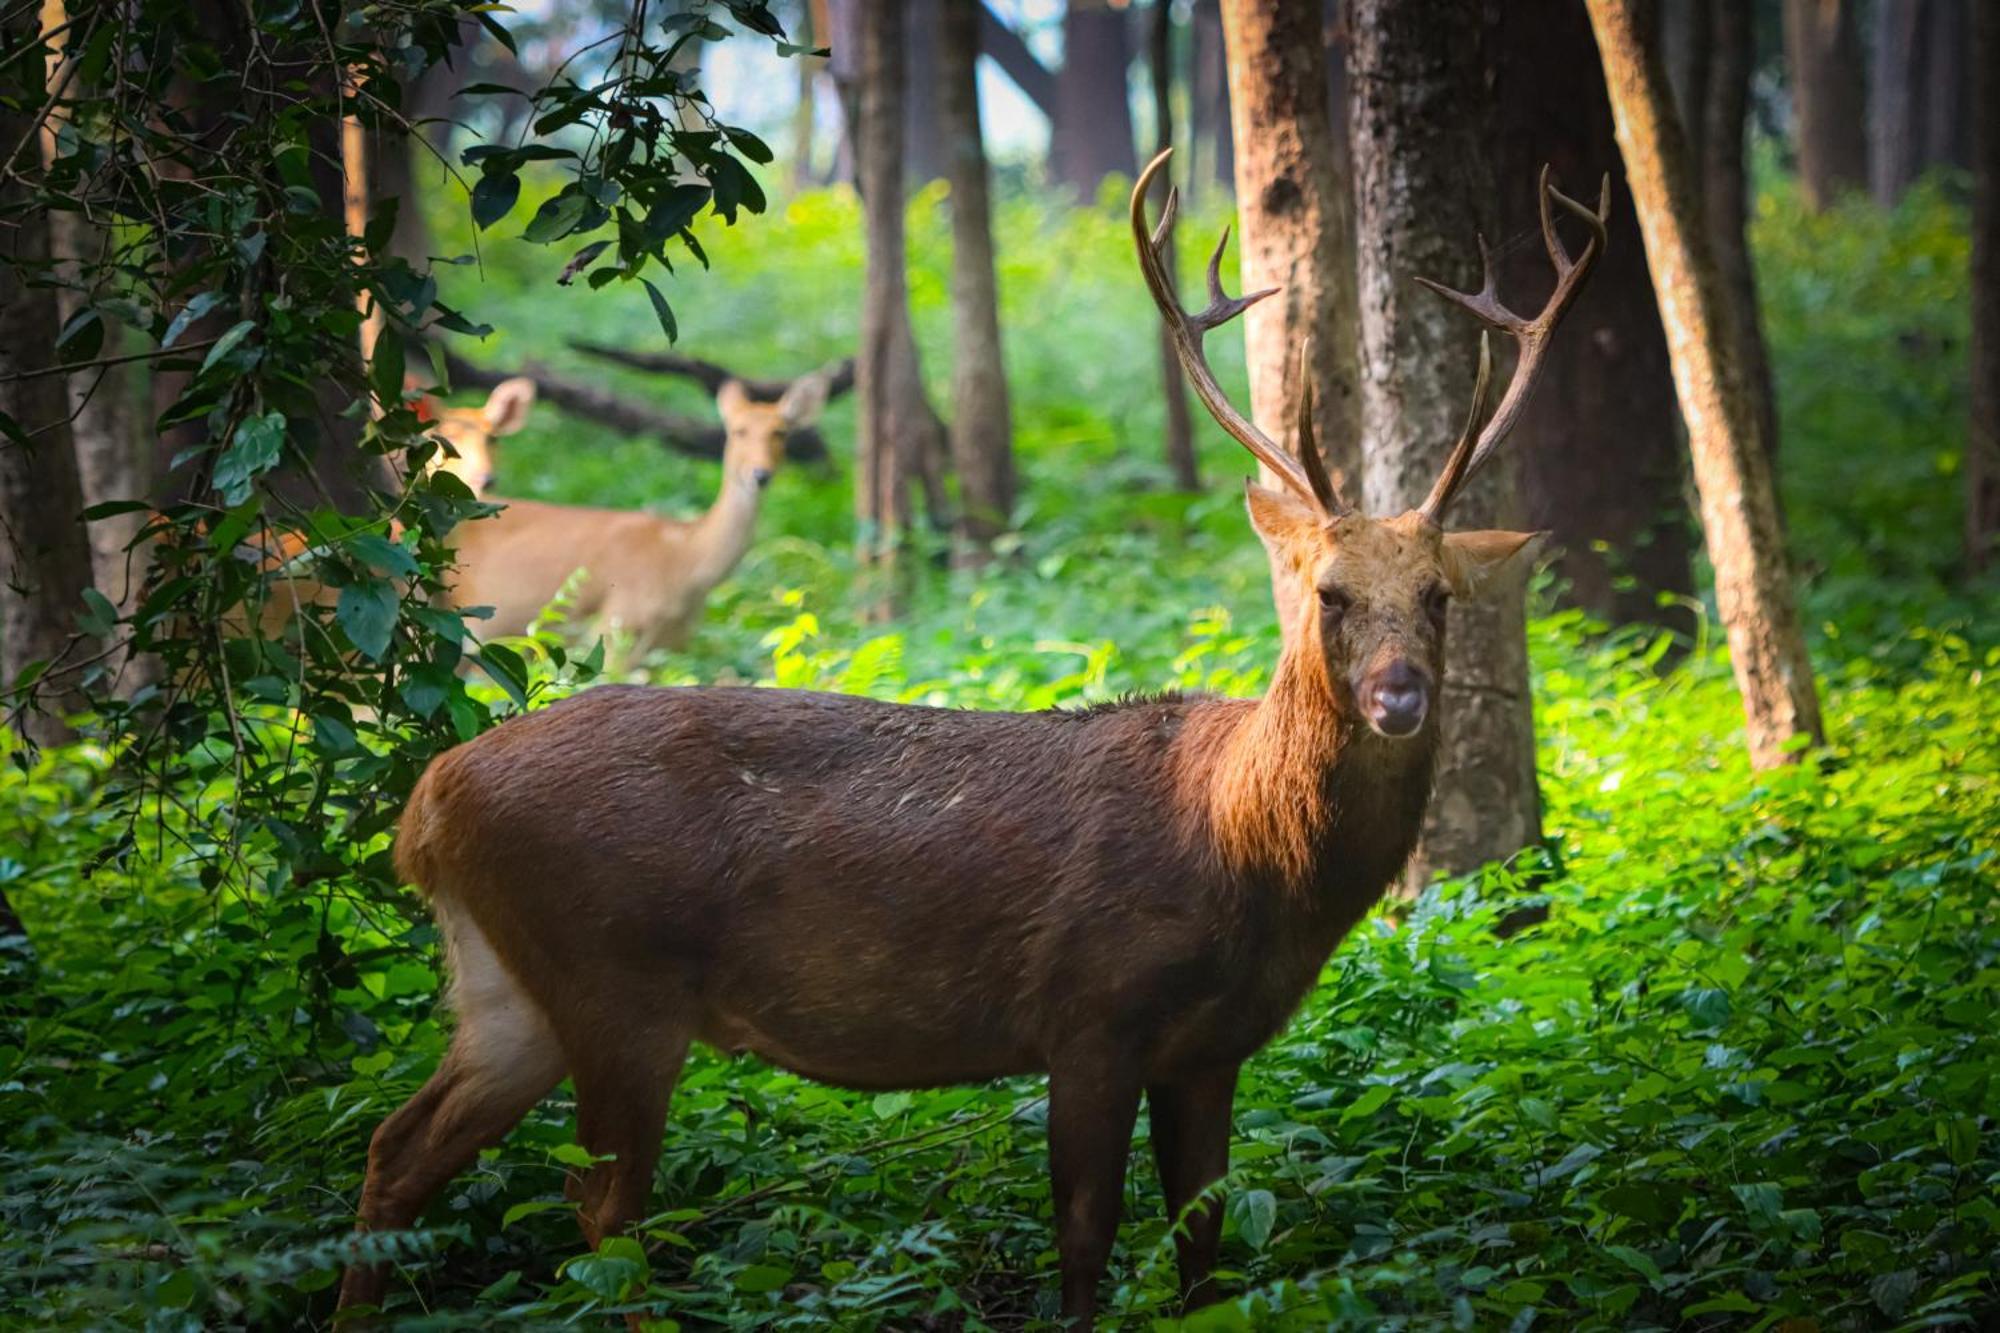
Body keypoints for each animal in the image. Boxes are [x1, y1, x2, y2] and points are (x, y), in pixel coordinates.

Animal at [444, 366, 828, 656]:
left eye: (781, 432)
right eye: (738, 431)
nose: (759, 474)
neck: (685, 560)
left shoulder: (671, 646)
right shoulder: (617, 625)